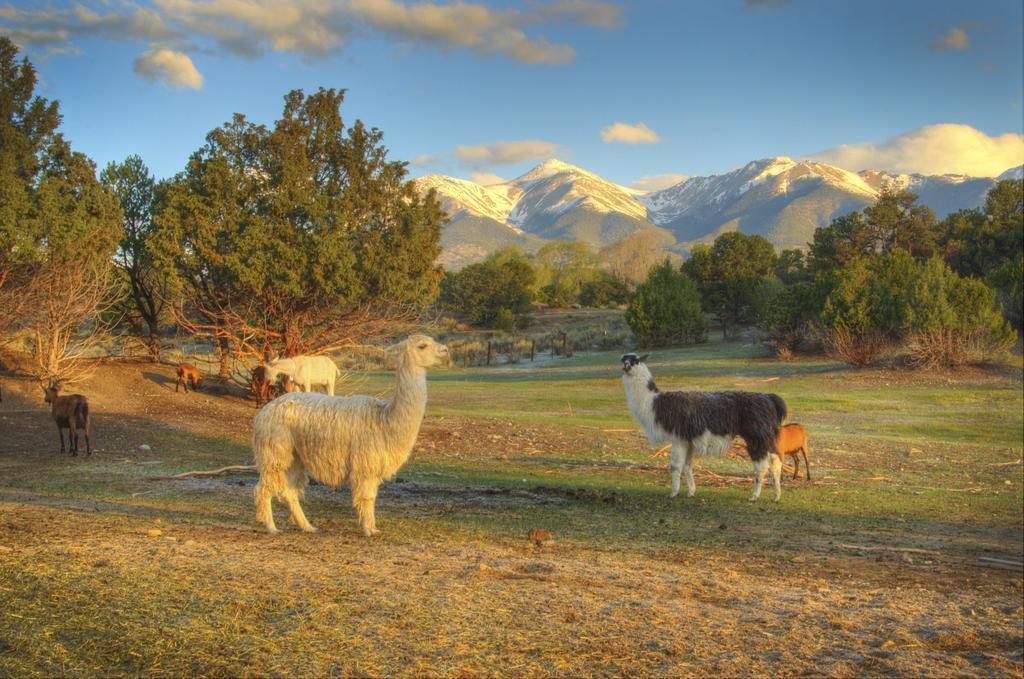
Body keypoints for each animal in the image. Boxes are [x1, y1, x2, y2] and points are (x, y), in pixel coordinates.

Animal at [252, 333, 448, 536]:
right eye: (422, 346)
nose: (445, 350)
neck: (385, 418)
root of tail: (265, 410)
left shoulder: (371, 465)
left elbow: (371, 497)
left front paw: (372, 528)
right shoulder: (365, 463)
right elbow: (367, 497)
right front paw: (369, 530)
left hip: (293, 455)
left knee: (289, 492)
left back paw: (308, 526)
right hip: (275, 451)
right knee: (263, 489)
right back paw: (272, 527)